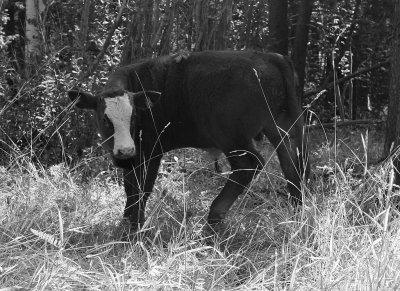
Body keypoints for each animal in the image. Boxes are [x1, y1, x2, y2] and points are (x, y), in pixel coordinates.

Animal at [68, 49, 306, 233]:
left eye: (134, 117)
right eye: (105, 119)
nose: (125, 150)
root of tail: (270, 56)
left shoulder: (151, 150)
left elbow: (143, 187)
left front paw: (136, 226)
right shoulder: (134, 156)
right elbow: (130, 187)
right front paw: (126, 221)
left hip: (233, 138)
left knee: (249, 165)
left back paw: (214, 217)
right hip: (279, 127)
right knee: (292, 164)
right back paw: (296, 211)